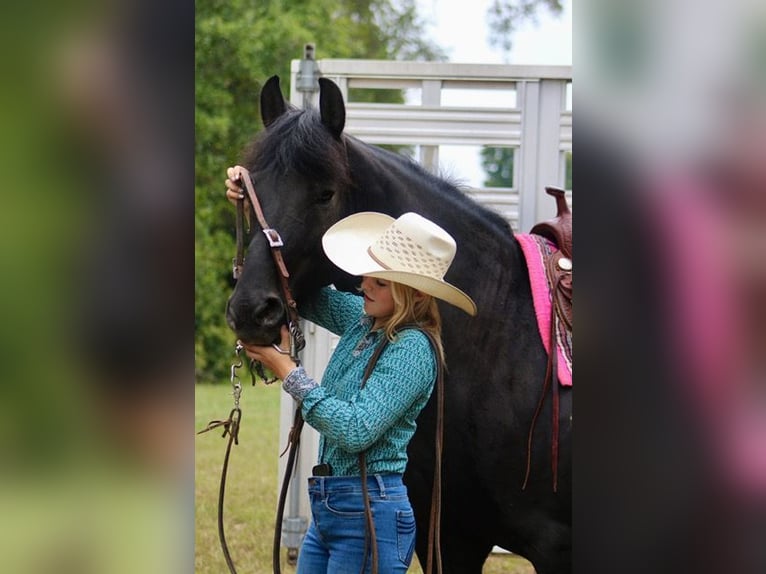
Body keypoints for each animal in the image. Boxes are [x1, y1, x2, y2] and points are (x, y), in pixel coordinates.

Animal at [225, 75, 572, 574]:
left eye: (325, 193)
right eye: (251, 194)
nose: (253, 311)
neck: (505, 341)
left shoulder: (555, 547)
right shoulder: (452, 535)